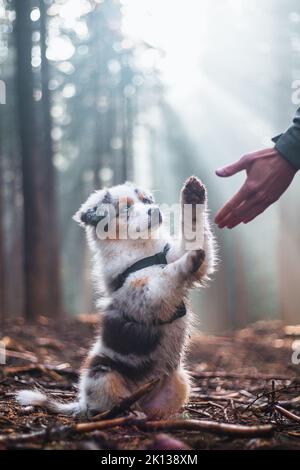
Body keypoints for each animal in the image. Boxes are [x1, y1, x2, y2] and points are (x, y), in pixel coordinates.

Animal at [16, 176, 216, 418]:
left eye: (146, 200)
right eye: (126, 209)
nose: (155, 210)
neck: (142, 248)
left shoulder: (178, 257)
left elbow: (195, 234)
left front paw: (193, 194)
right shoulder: (144, 294)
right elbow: (165, 275)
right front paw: (188, 260)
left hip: (180, 381)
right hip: (102, 373)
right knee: (105, 406)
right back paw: (124, 413)